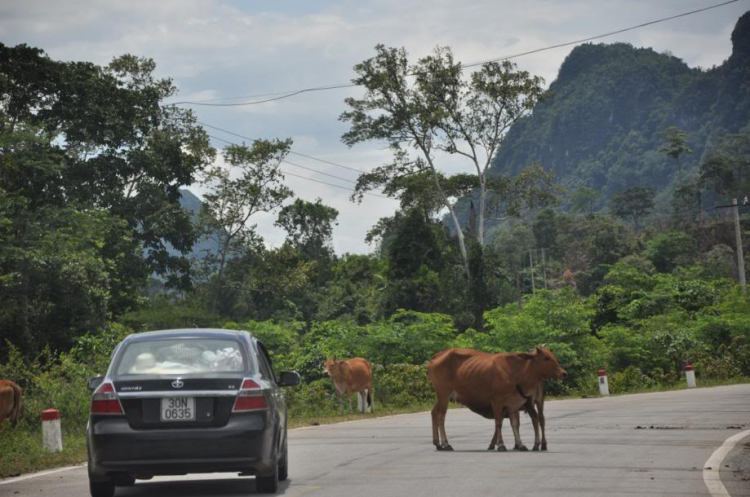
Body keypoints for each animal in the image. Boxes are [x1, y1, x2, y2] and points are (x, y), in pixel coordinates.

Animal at [428, 346, 564, 452]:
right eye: (546, 358)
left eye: (552, 356)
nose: (563, 373)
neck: (516, 372)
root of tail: (438, 356)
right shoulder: (497, 402)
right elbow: (498, 423)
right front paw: (501, 445)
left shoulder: (513, 404)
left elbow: (515, 424)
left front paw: (520, 444)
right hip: (444, 394)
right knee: (440, 417)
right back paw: (446, 444)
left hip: (440, 397)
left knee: (434, 412)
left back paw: (437, 443)